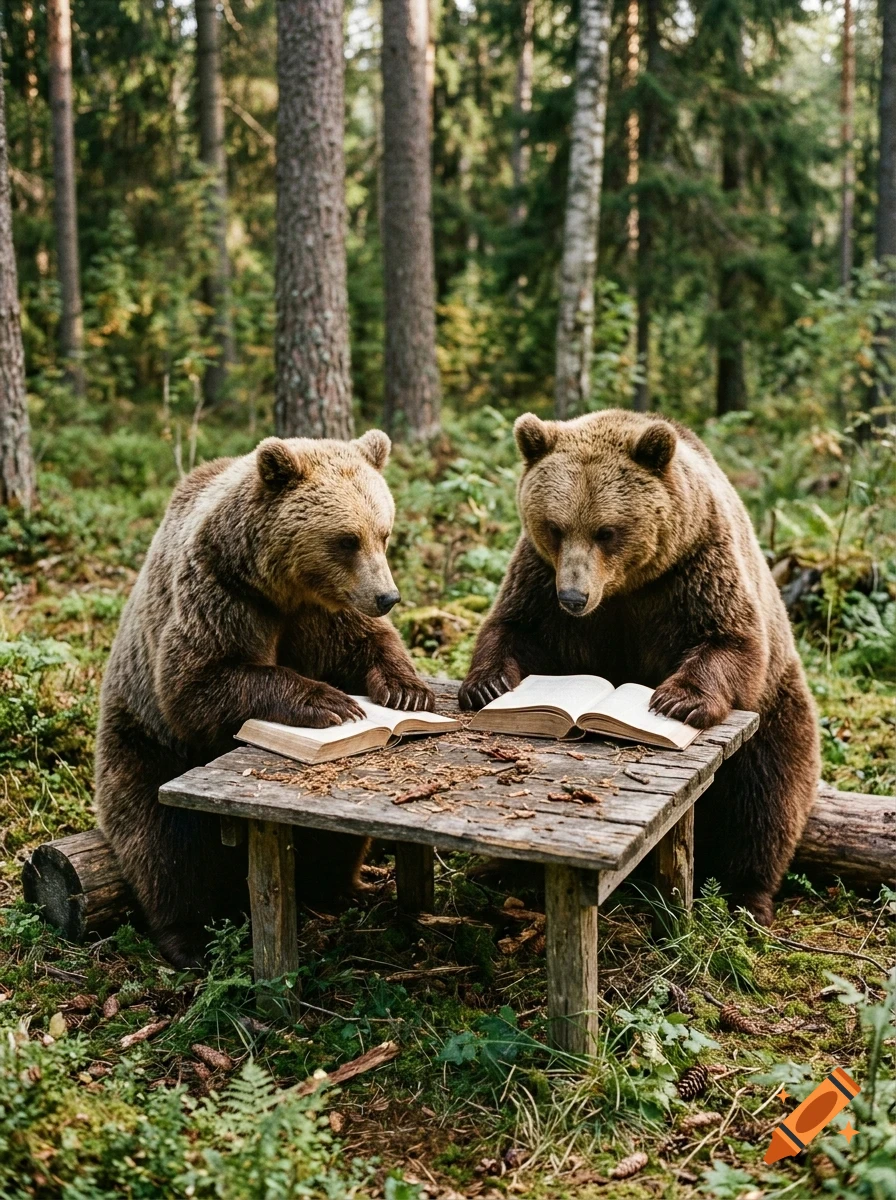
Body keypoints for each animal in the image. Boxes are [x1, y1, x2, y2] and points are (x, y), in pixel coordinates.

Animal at [95, 430, 434, 967]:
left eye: (384, 533)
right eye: (346, 539)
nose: (387, 597)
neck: (284, 587)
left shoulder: (323, 613)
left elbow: (369, 642)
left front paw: (407, 690)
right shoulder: (221, 594)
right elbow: (199, 683)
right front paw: (332, 702)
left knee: (333, 843)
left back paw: (341, 890)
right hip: (143, 742)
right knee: (163, 842)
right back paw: (188, 938)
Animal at [459, 410, 820, 924]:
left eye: (605, 530)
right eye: (555, 527)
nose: (574, 596)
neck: (627, 586)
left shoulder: (694, 568)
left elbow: (731, 639)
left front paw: (676, 701)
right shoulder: (542, 579)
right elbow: (515, 626)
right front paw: (487, 686)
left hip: (778, 712)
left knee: (764, 802)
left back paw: (748, 899)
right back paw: (497, 871)